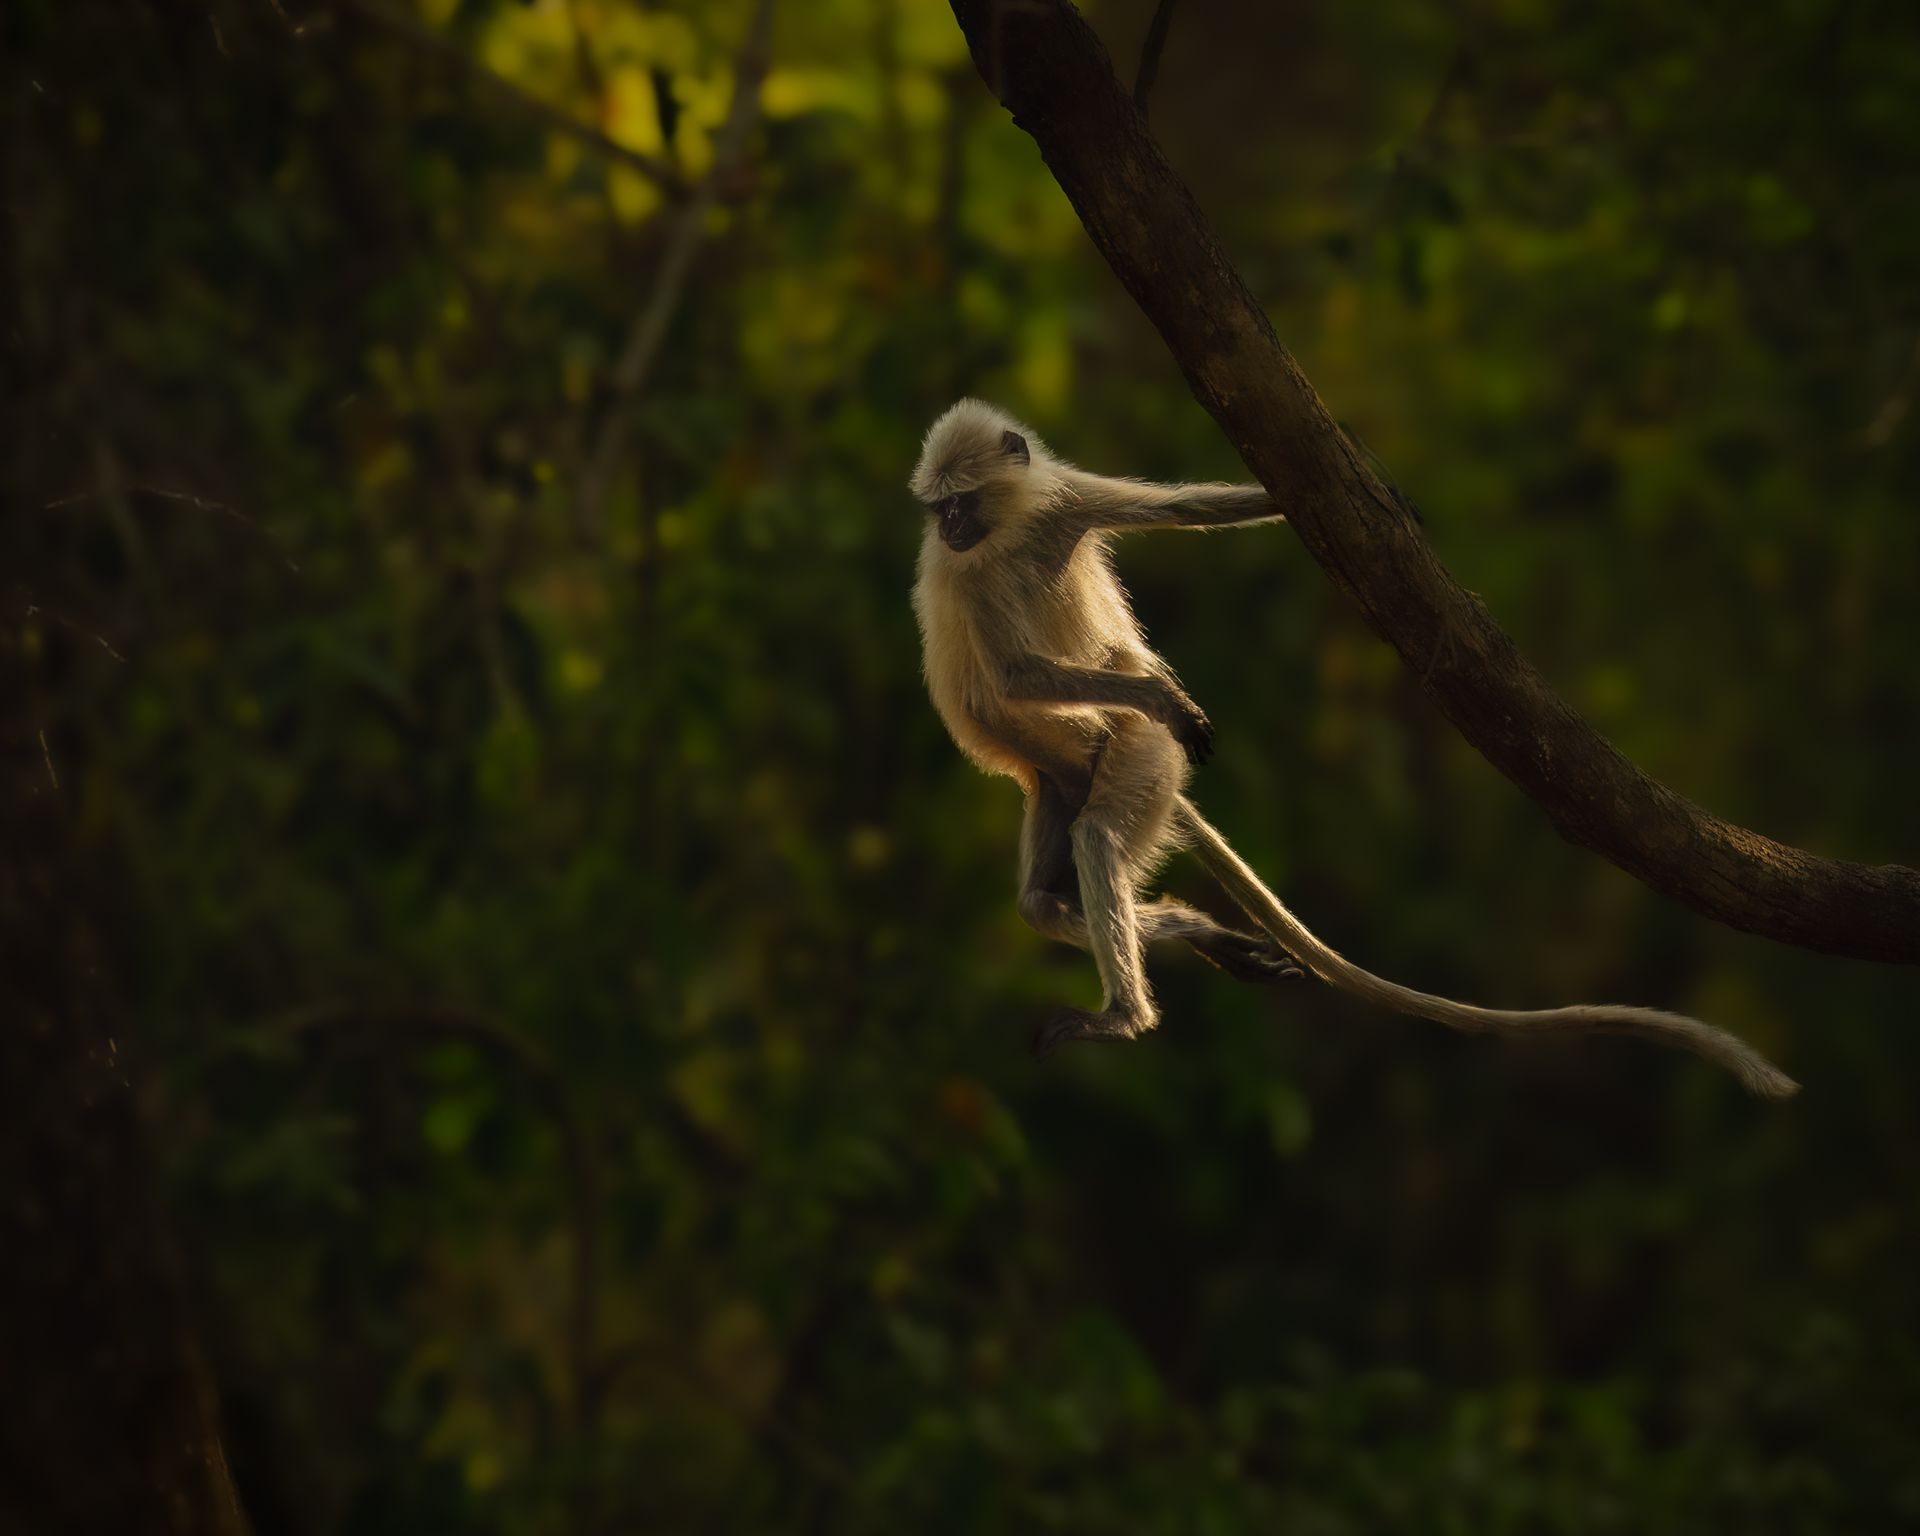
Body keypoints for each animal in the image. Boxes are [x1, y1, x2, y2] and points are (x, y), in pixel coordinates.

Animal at [908, 398, 1798, 1100]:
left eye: (960, 502)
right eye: (939, 509)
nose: (948, 528)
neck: (1009, 535)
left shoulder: (1061, 502)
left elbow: (1186, 508)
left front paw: (1379, 494)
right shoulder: (981, 567)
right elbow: (1015, 675)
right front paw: (1161, 691)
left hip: (1133, 759)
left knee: (1082, 855)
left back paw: (1137, 1000)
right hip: (1072, 777)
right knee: (1049, 892)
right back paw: (1180, 950)